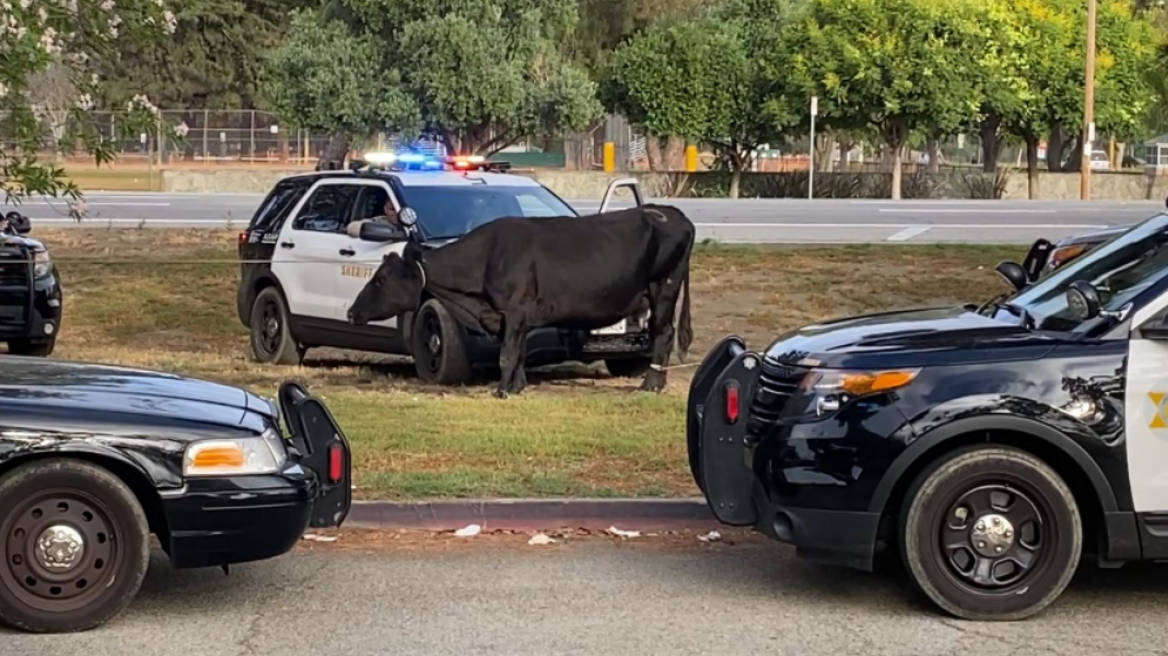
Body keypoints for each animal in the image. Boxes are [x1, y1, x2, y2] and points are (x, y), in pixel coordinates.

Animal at [345, 204, 691, 396]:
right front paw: (518, 386)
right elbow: (520, 353)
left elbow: (507, 355)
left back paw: (651, 385)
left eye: (381, 279)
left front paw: (502, 391)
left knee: (663, 334)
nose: (351, 312)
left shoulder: (513, 310)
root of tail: (673, 214)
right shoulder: (519, 317)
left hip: (663, 288)